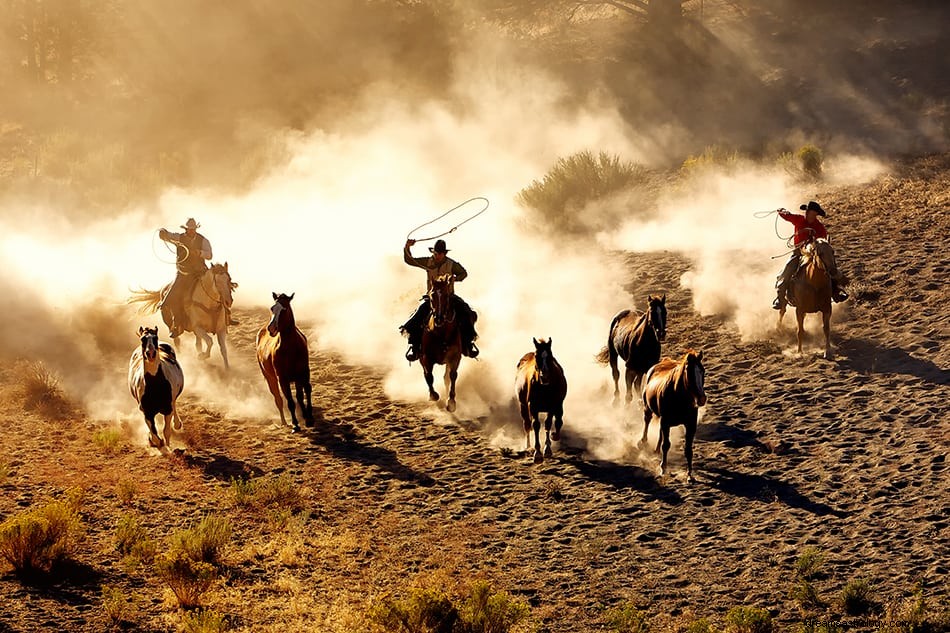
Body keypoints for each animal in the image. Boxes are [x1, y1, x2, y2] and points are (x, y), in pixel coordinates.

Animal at [256, 290, 316, 430]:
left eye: (284, 309)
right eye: (272, 308)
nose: (271, 328)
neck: (291, 348)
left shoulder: (304, 373)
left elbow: (306, 391)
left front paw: (309, 418)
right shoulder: (283, 379)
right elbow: (290, 401)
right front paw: (295, 424)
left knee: (299, 396)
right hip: (270, 378)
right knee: (278, 399)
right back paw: (284, 422)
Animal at [422, 274, 466, 412]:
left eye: (446, 296)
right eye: (432, 296)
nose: (439, 318)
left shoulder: (455, 357)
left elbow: (452, 376)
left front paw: (451, 401)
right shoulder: (425, 357)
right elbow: (428, 375)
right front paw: (433, 395)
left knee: (446, 377)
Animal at [516, 336, 568, 464]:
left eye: (550, 355)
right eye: (536, 356)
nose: (544, 377)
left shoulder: (553, 405)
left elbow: (549, 424)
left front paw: (547, 449)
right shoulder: (533, 406)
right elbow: (535, 425)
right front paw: (537, 453)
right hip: (523, 406)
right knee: (527, 424)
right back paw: (528, 447)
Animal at [640, 348, 708, 482]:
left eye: (702, 371)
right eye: (690, 373)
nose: (702, 399)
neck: (679, 397)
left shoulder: (690, 425)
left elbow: (688, 449)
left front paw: (689, 474)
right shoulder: (666, 421)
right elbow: (666, 445)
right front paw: (663, 468)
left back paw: (656, 449)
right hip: (648, 409)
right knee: (647, 420)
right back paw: (643, 441)